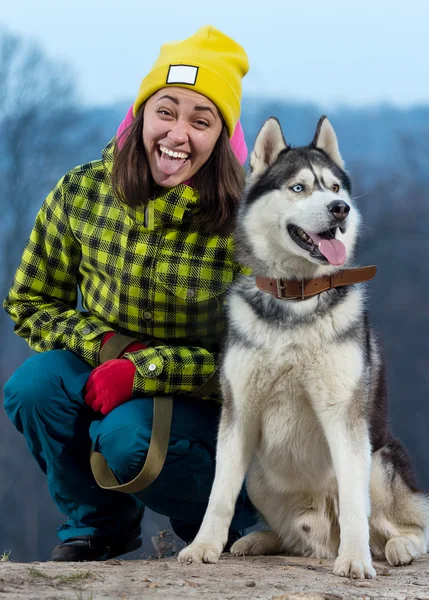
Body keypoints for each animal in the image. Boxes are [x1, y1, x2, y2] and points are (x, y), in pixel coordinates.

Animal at [179, 115, 428, 580]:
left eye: (334, 187)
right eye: (299, 187)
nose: (340, 209)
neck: (295, 298)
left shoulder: (345, 416)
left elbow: (354, 503)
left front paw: (355, 560)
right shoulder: (239, 413)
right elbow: (219, 493)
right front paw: (204, 546)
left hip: (378, 460)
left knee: (409, 527)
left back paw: (396, 546)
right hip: (260, 475)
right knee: (295, 538)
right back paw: (259, 539)